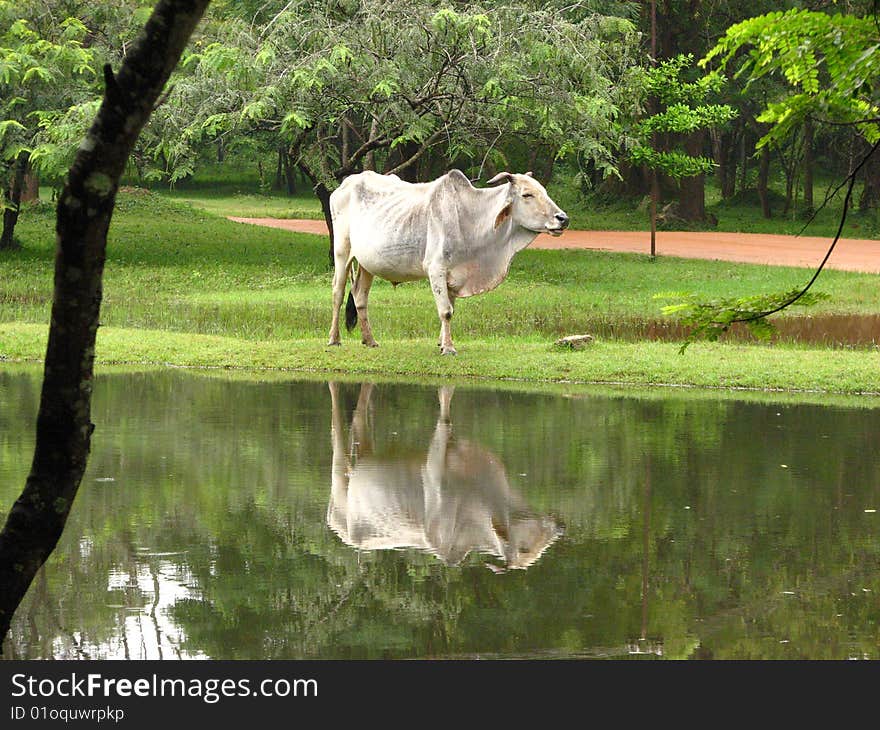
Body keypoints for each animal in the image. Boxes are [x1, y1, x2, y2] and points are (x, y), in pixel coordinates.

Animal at [324, 382, 564, 568]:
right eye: (524, 548)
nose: (559, 527)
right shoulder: (434, 469)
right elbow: (444, 419)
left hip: (364, 453)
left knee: (358, 420)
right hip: (339, 480)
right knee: (336, 432)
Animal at [328, 169, 572, 354]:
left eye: (544, 191)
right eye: (527, 194)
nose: (563, 219)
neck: (470, 218)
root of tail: (345, 184)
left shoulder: (455, 276)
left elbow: (451, 308)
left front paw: (441, 342)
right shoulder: (436, 268)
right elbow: (445, 310)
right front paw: (448, 348)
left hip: (367, 263)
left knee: (360, 296)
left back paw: (369, 340)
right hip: (342, 251)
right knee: (338, 293)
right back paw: (334, 339)